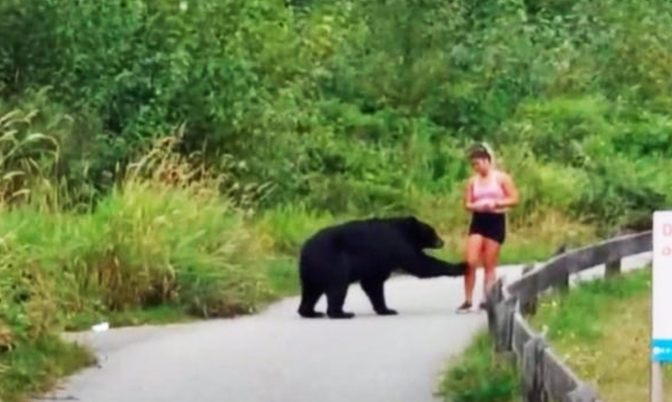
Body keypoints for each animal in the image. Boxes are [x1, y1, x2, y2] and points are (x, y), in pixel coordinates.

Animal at [300, 215, 468, 318]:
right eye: (432, 231)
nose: (442, 242)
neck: (403, 230)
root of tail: (305, 250)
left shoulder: (378, 262)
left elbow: (373, 284)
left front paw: (386, 310)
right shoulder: (397, 245)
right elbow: (420, 264)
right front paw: (461, 266)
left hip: (312, 272)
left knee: (311, 292)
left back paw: (310, 312)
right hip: (333, 261)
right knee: (337, 286)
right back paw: (341, 313)